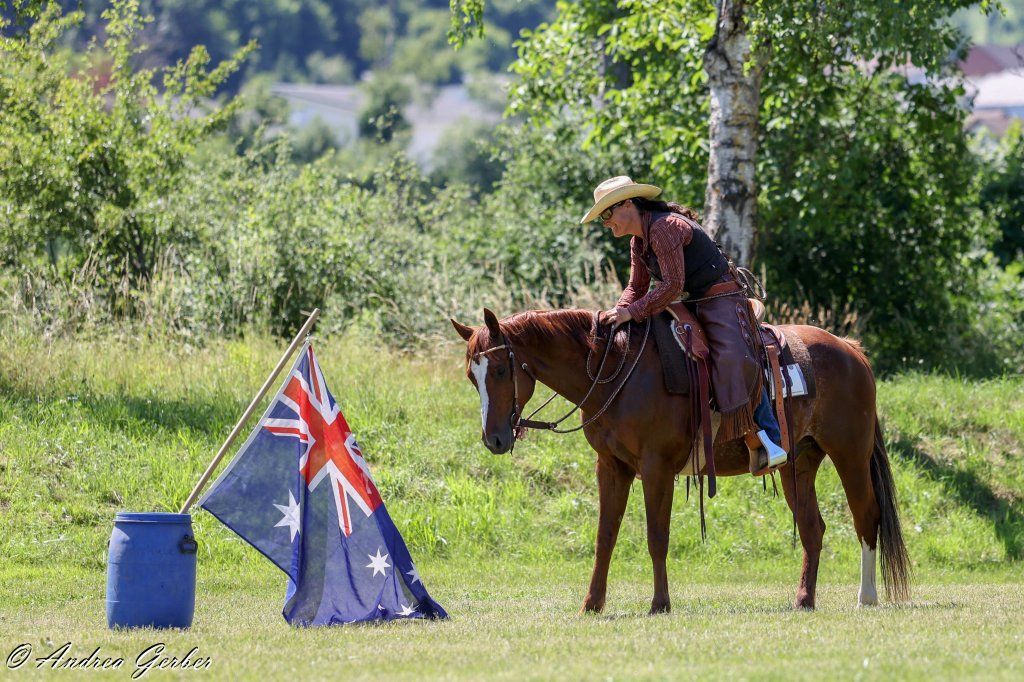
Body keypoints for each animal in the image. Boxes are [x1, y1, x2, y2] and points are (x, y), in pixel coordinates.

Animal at [450, 307, 910, 614]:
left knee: (867, 517)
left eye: (499, 371)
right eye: (473, 377)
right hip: (800, 464)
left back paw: (866, 597)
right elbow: (605, 537)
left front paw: (660, 603)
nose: (494, 438)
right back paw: (803, 599)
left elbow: (657, 537)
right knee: (814, 529)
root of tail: (850, 350)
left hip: (850, 454)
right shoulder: (611, 468)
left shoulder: (656, 469)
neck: (615, 372)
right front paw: (592, 604)